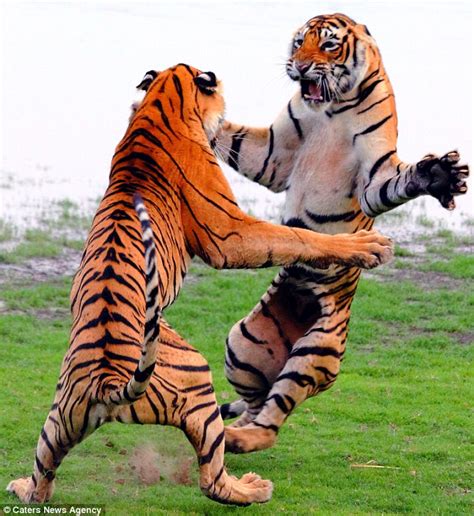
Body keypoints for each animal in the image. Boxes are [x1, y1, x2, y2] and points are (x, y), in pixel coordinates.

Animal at [5, 62, 394, 506]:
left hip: (59, 419)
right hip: (197, 381)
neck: (160, 105)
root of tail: (110, 385)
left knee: (43, 473)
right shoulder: (230, 233)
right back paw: (253, 488)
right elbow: (297, 237)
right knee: (212, 477)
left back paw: (22, 486)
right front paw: (367, 245)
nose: (224, 124)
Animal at [216, 14, 470, 454]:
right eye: (299, 43)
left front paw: (437, 174)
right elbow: (236, 139)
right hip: (243, 343)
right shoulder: (273, 155)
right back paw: (230, 430)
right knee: (257, 403)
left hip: (315, 349)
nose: (300, 67)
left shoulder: (374, 173)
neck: (331, 109)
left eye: (329, 46)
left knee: (271, 420)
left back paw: (237, 440)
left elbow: (393, 184)